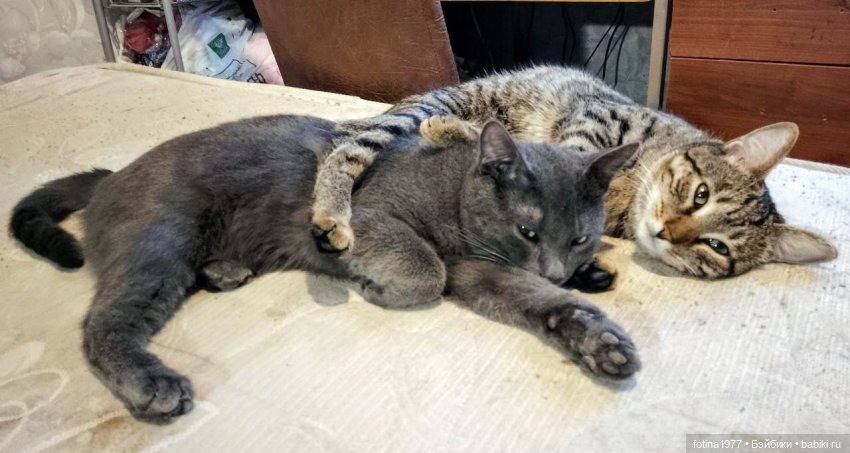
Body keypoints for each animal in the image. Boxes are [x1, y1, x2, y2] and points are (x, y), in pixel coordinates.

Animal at [11, 114, 641, 423]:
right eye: (528, 231)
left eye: (580, 238)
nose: (560, 266)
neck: (453, 191)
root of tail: (111, 176)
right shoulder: (376, 217)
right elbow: (426, 271)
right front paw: (372, 285)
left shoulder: (480, 270)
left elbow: (544, 302)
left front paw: (600, 338)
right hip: (159, 244)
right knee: (102, 325)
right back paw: (153, 385)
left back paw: (223, 272)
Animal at [310, 65, 837, 278]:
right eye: (701, 194)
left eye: (717, 247)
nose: (667, 231)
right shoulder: (596, 118)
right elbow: (556, 156)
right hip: (425, 108)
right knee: (344, 148)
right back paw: (332, 213)